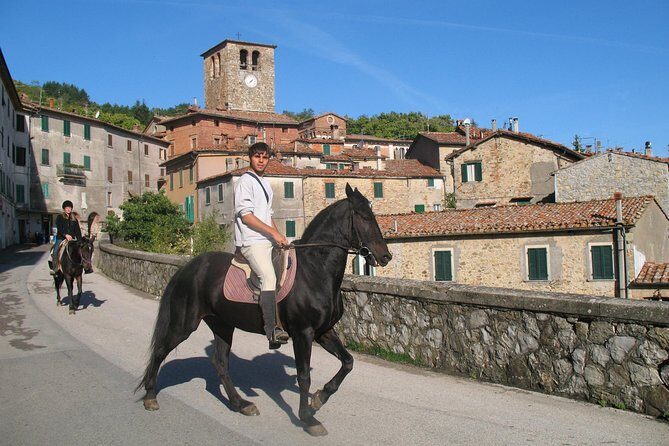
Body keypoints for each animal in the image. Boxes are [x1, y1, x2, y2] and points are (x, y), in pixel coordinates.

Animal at [136, 184, 392, 436]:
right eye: (364, 217)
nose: (386, 256)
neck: (315, 270)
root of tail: (188, 268)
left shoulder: (324, 331)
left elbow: (348, 362)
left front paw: (319, 398)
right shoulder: (303, 333)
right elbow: (304, 376)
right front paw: (307, 418)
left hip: (222, 325)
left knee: (220, 363)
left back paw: (241, 404)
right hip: (184, 324)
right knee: (160, 351)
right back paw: (150, 396)